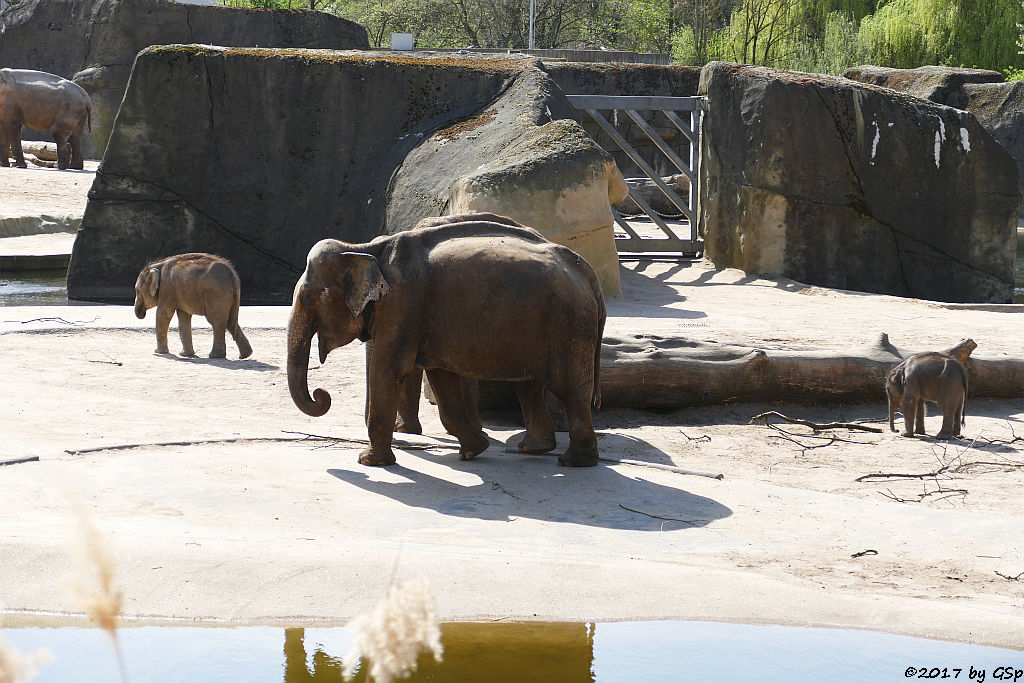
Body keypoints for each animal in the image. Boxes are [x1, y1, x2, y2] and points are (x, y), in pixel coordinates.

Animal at [286, 218, 606, 464]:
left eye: (312, 298)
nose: (322, 394)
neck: (363, 249)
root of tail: (587, 271)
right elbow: (442, 377)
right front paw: (474, 451)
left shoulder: (403, 304)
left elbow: (388, 370)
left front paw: (369, 462)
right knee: (530, 383)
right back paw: (533, 450)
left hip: (568, 324)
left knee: (569, 389)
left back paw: (574, 461)